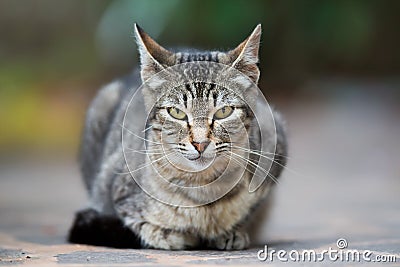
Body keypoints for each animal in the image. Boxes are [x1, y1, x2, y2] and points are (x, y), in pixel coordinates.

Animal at [69, 24, 288, 250]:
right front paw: (167, 234)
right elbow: (136, 221)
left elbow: (250, 211)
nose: (200, 143)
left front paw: (232, 232)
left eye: (224, 111)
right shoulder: (115, 188)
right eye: (177, 113)